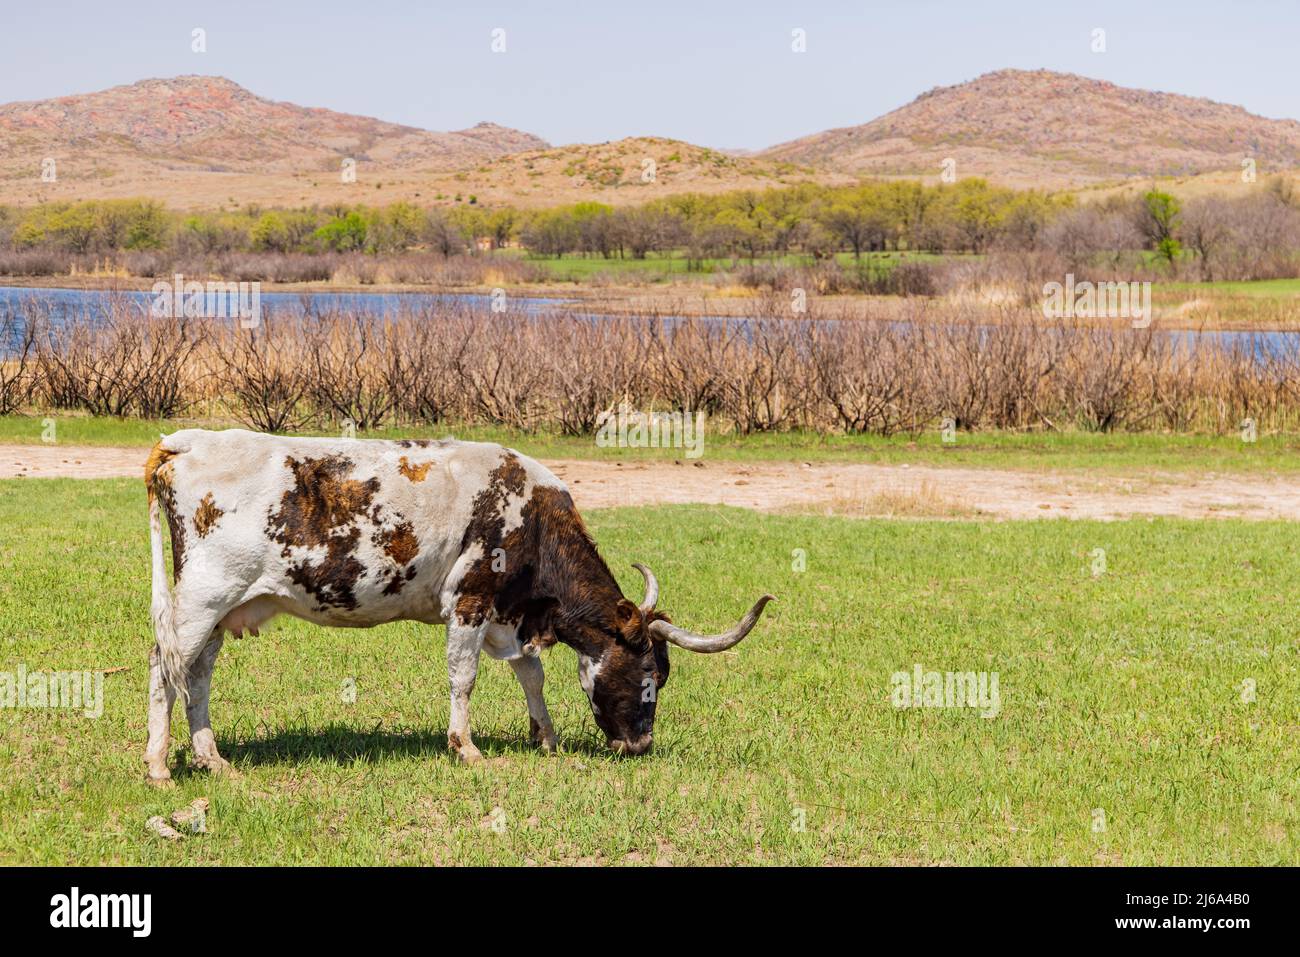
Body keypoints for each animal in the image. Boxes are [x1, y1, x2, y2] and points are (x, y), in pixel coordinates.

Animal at [142, 428, 773, 782]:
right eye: (651, 674)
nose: (640, 745)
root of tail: (189, 439)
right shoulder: (470, 601)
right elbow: (463, 677)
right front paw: (465, 748)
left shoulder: (511, 616)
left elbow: (531, 674)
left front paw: (544, 737)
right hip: (201, 598)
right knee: (163, 668)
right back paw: (158, 766)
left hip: (223, 608)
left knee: (196, 674)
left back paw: (210, 759)